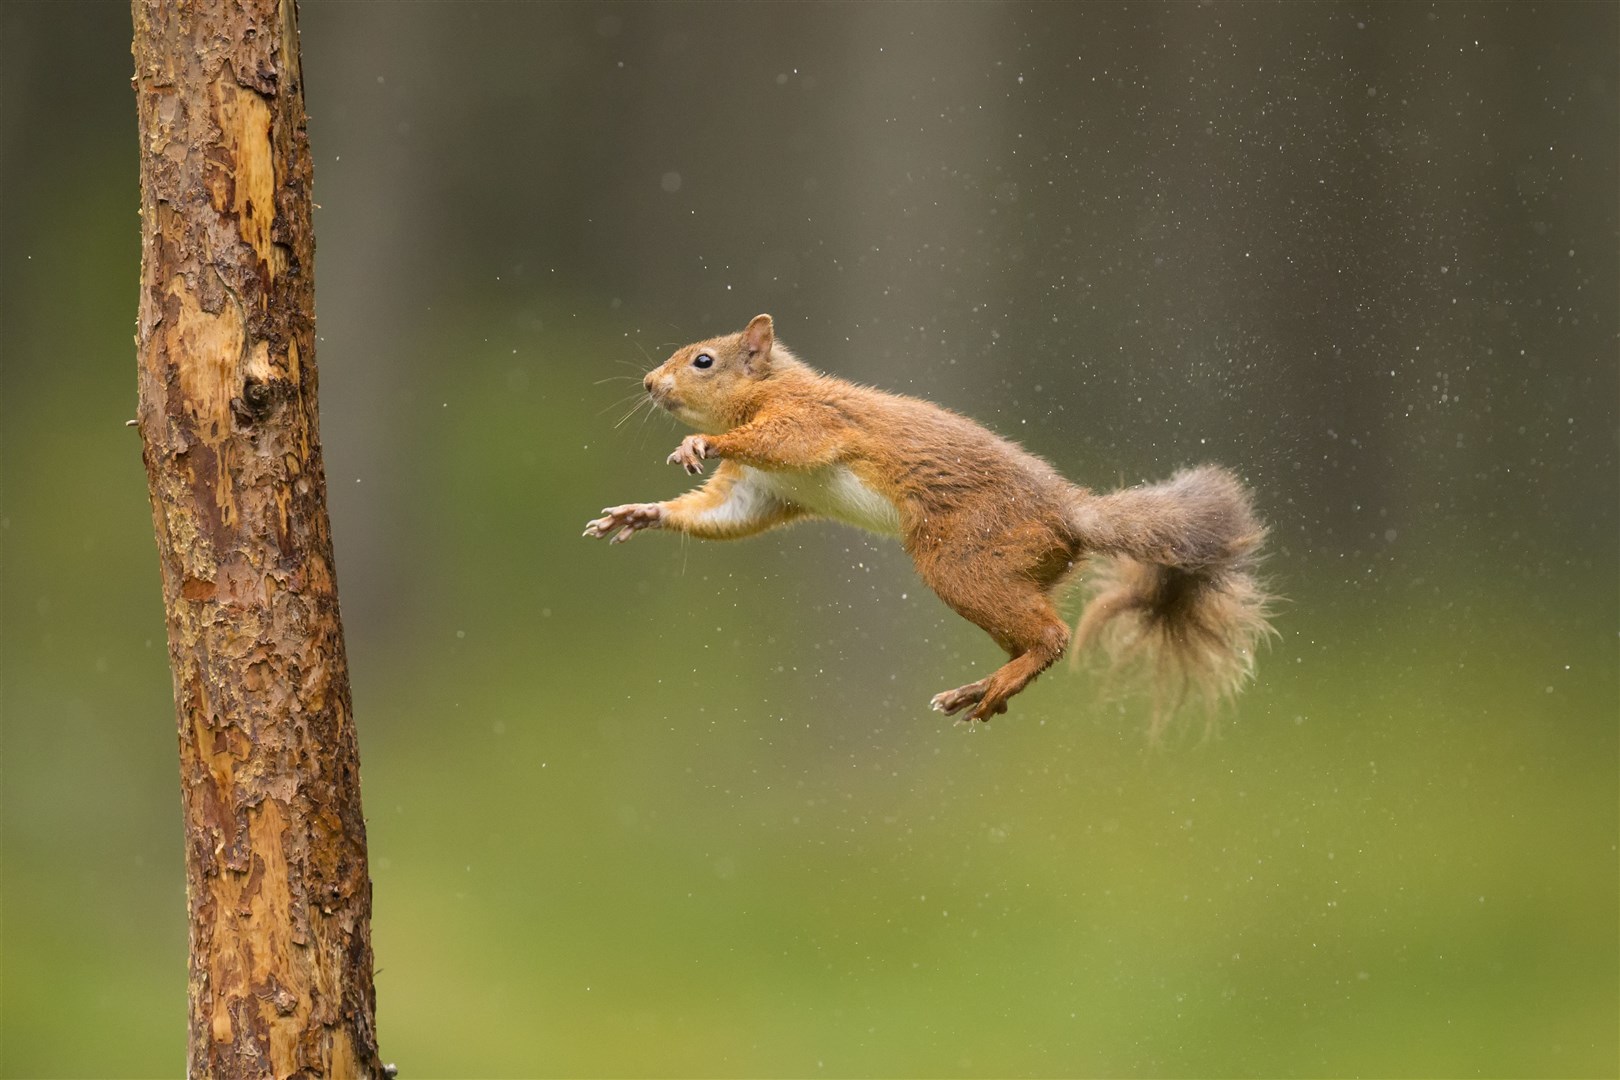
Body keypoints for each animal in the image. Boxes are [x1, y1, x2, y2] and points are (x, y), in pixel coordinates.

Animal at [589, 317, 1270, 731]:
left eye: (704, 361)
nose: (649, 382)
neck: (770, 388)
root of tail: (1068, 512)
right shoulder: (760, 489)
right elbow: (721, 514)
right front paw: (641, 513)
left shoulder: (812, 421)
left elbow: (785, 439)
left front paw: (701, 441)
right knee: (1030, 638)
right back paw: (982, 691)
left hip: (965, 559)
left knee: (1051, 636)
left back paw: (998, 683)